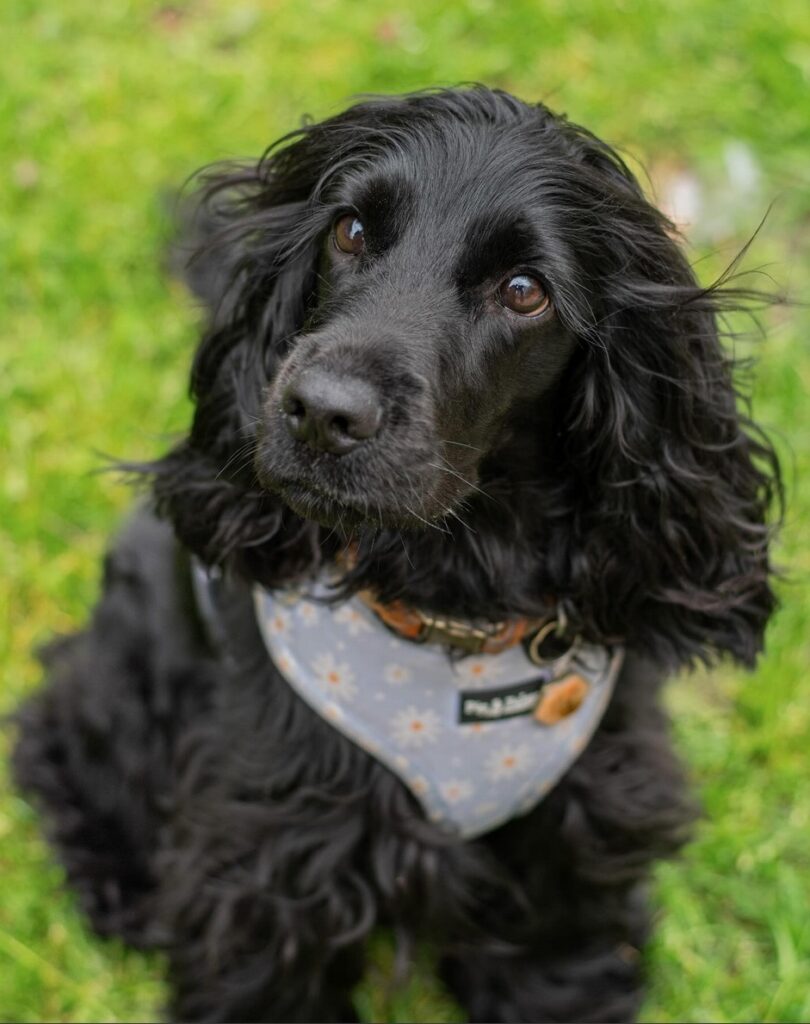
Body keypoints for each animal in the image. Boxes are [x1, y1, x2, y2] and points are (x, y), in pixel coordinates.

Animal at [12, 90, 782, 1024]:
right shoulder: (272, 862)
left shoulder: (576, 826)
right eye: (348, 230)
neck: (456, 610)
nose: (320, 412)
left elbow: (558, 959)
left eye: (524, 290)